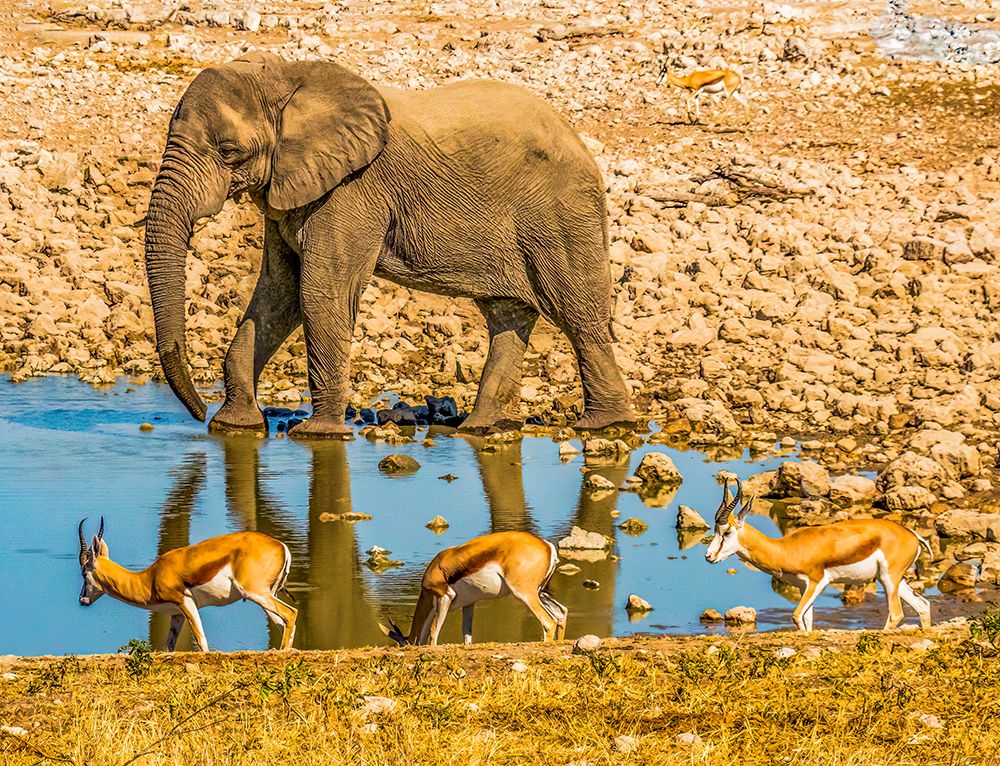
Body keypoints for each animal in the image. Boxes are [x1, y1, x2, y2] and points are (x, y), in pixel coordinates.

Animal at [144, 51, 635, 438]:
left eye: (229, 152)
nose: (198, 414)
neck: (288, 76)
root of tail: (578, 139)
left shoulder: (353, 189)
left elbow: (320, 293)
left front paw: (318, 435)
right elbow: (277, 296)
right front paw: (235, 427)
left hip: (560, 215)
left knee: (578, 315)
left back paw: (605, 426)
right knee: (507, 315)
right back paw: (483, 427)